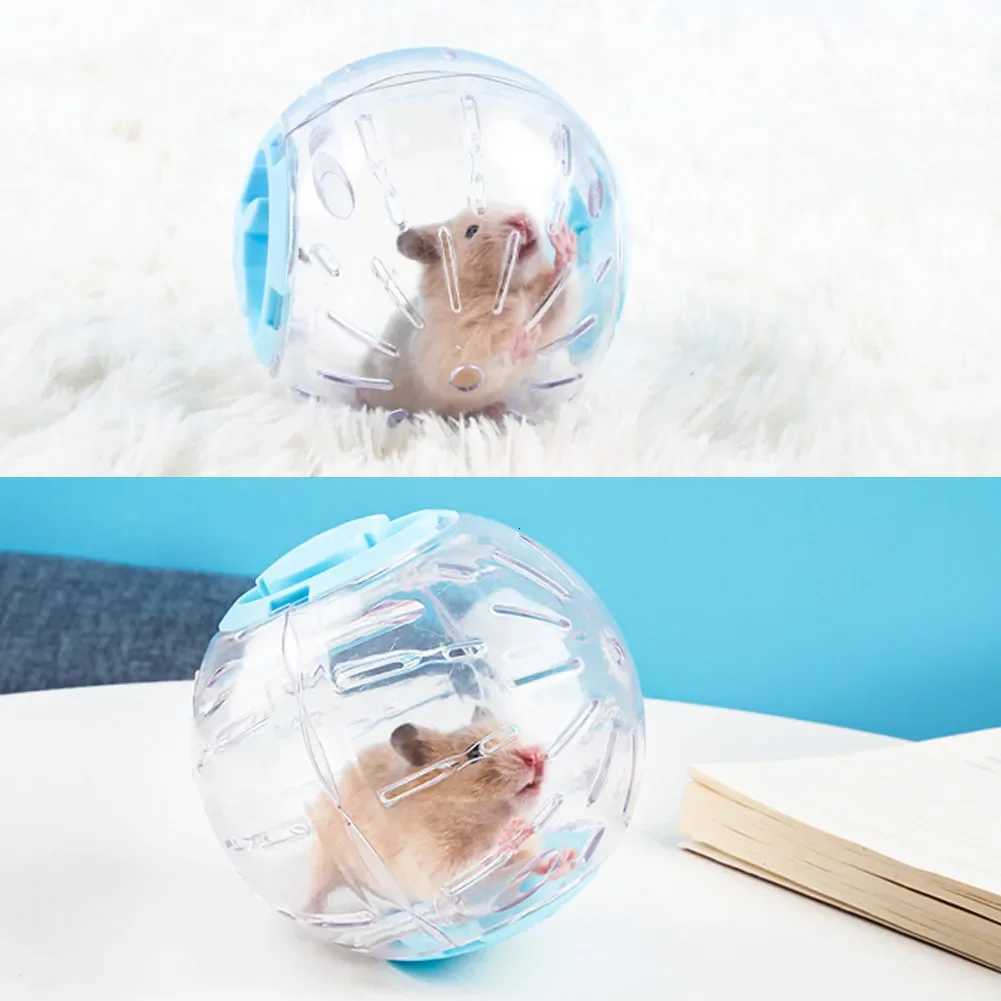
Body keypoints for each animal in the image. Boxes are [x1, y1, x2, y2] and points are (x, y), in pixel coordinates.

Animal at [305, 709, 575, 912]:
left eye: (515, 735)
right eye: (475, 752)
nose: (536, 756)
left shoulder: (518, 859)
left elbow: (529, 863)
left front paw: (566, 858)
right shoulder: (430, 864)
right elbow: (472, 860)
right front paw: (513, 830)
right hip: (325, 859)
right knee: (317, 890)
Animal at [361, 205, 580, 417]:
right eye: (472, 231)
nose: (521, 220)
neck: (500, 292)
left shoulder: (543, 307)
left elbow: (559, 296)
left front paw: (563, 239)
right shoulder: (455, 360)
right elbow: (490, 363)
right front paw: (522, 340)